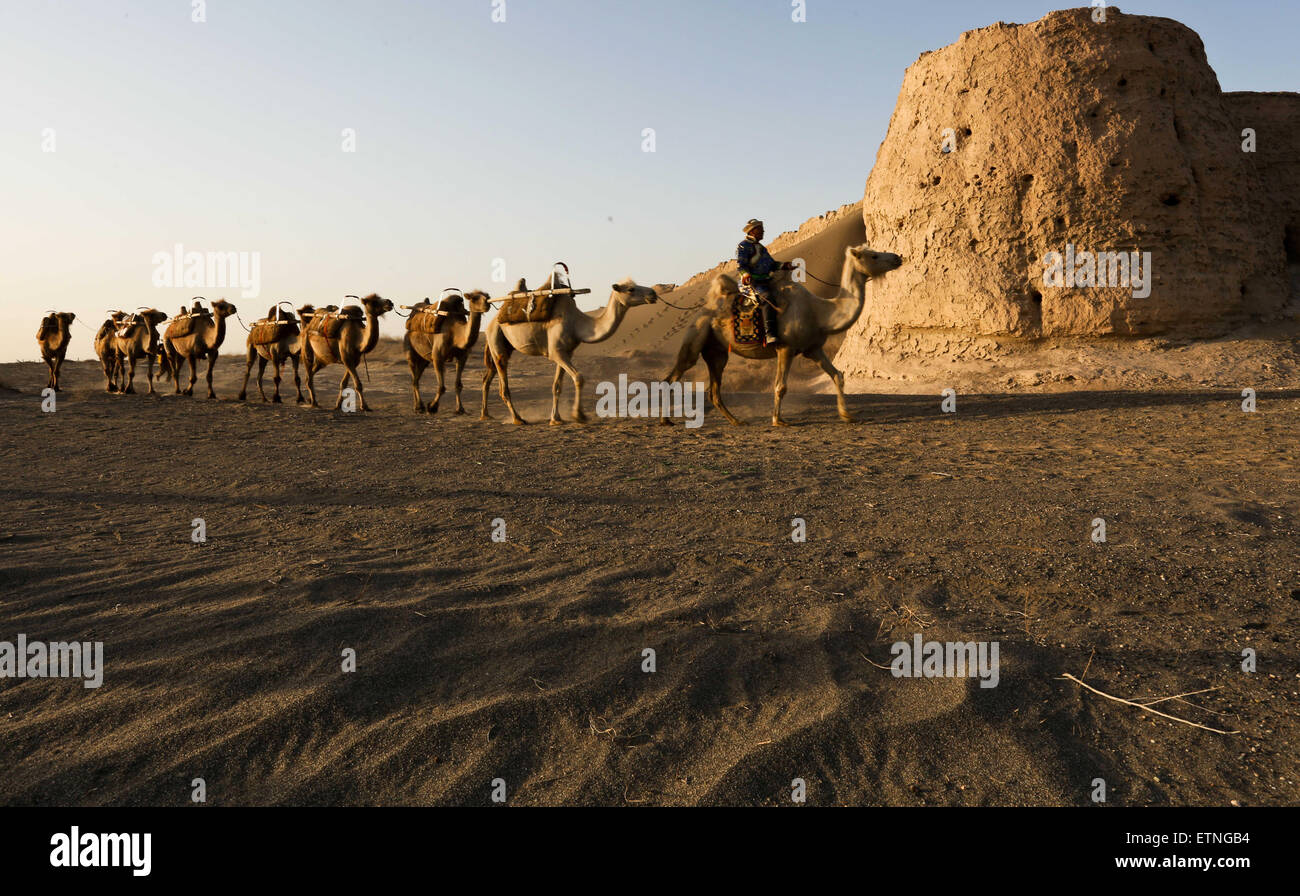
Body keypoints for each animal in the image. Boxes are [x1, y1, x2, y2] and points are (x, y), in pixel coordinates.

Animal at [480, 275, 660, 423]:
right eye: (630, 289)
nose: (653, 293)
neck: (576, 323)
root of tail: (491, 323)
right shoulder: (556, 352)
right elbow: (579, 378)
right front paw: (578, 415)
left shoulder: (566, 352)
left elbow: (557, 386)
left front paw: (556, 419)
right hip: (497, 341)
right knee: (503, 386)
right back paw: (518, 419)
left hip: (503, 347)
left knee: (487, 377)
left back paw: (485, 415)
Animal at [665, 244, 899, 426]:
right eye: (873, 255)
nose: (898, 257)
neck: (820, 312)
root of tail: (702, 312)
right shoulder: (785, 348)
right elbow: (781, 387)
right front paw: (778, 420)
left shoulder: (813, 349)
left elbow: (837, 375)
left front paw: (847, 415)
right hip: (696, 336)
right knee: (675, 375)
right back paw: (666, 420)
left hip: (717, 351)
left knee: (714, 390)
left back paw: (737, 421)